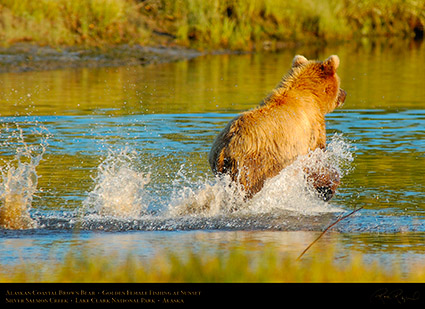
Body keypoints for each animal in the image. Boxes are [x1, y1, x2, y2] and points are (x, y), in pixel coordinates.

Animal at [208, 53, 344, 200]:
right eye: (339, 83)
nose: (344, 94)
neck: (313, 96)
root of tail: (224, 148)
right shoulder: (311, 126)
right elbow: (317, 156)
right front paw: (327, 187)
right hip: (254, 164)